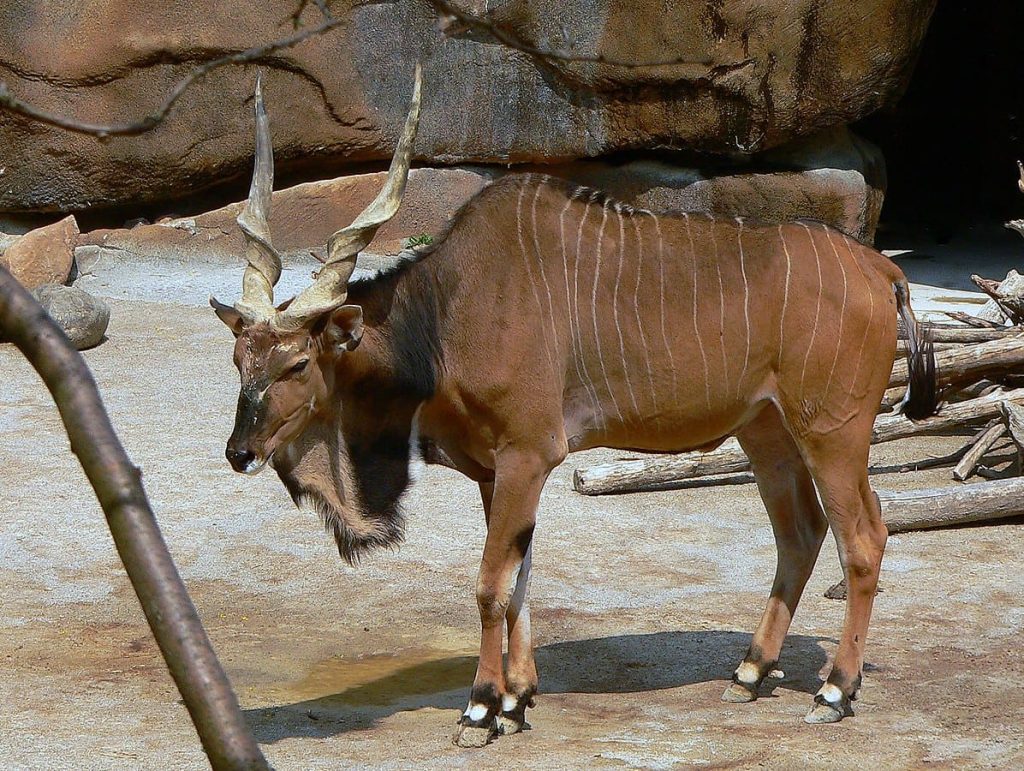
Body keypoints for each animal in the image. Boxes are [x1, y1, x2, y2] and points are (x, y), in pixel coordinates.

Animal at [214, 67, 937, 745]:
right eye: (240, 359)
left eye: (298, 363)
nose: (239, 452)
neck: (448, 310)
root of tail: (883, 271)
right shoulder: (497, 470)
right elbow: (518, 581)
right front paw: (516, 701)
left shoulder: (528, 456)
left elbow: (491, 583)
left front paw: (481, 707)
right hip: (767, 434)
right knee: (801, 533)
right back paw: (751, 671)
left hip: (833, 433)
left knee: (863, 537)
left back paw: (835, 690)